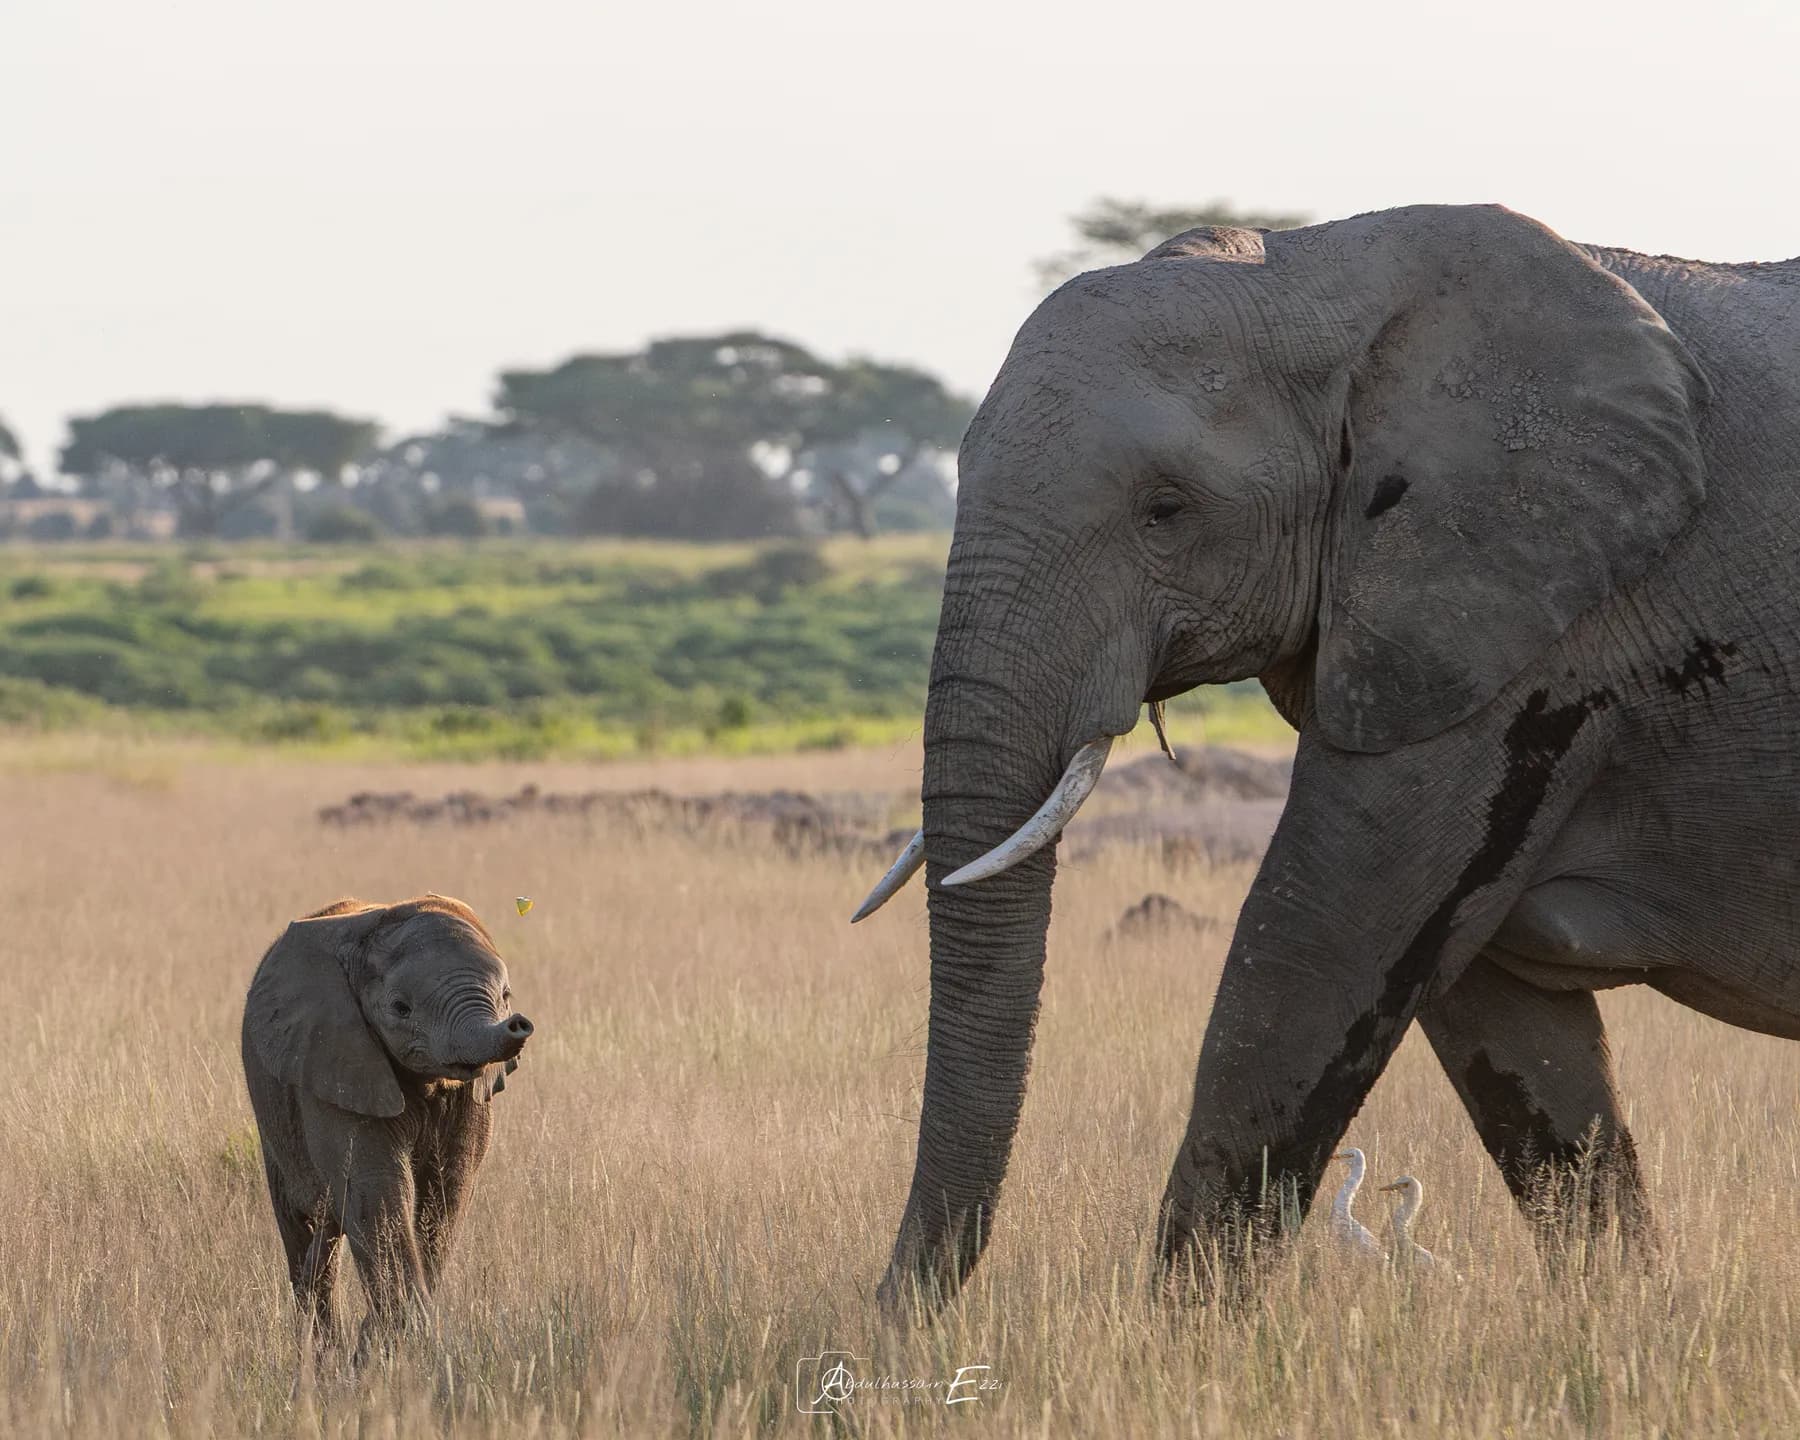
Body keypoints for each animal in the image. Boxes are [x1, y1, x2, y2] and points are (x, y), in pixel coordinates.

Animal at [241, 894, 533, 1344]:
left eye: (506, 994)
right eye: (401, 1008)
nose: (517, 1023)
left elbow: (449, 1186)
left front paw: (382, 1344)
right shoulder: (337, 1058)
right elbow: (375, 1185)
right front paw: (402, 1343)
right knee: (302, 1227)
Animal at [853, 203, 1800, 1306]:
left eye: (1166, 510)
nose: (889, 1317)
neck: (1321, 272)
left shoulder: (1530, 639)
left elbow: (1316, 946)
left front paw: (1178, 1340)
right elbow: (1501, 1027)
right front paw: (1621, 1320)